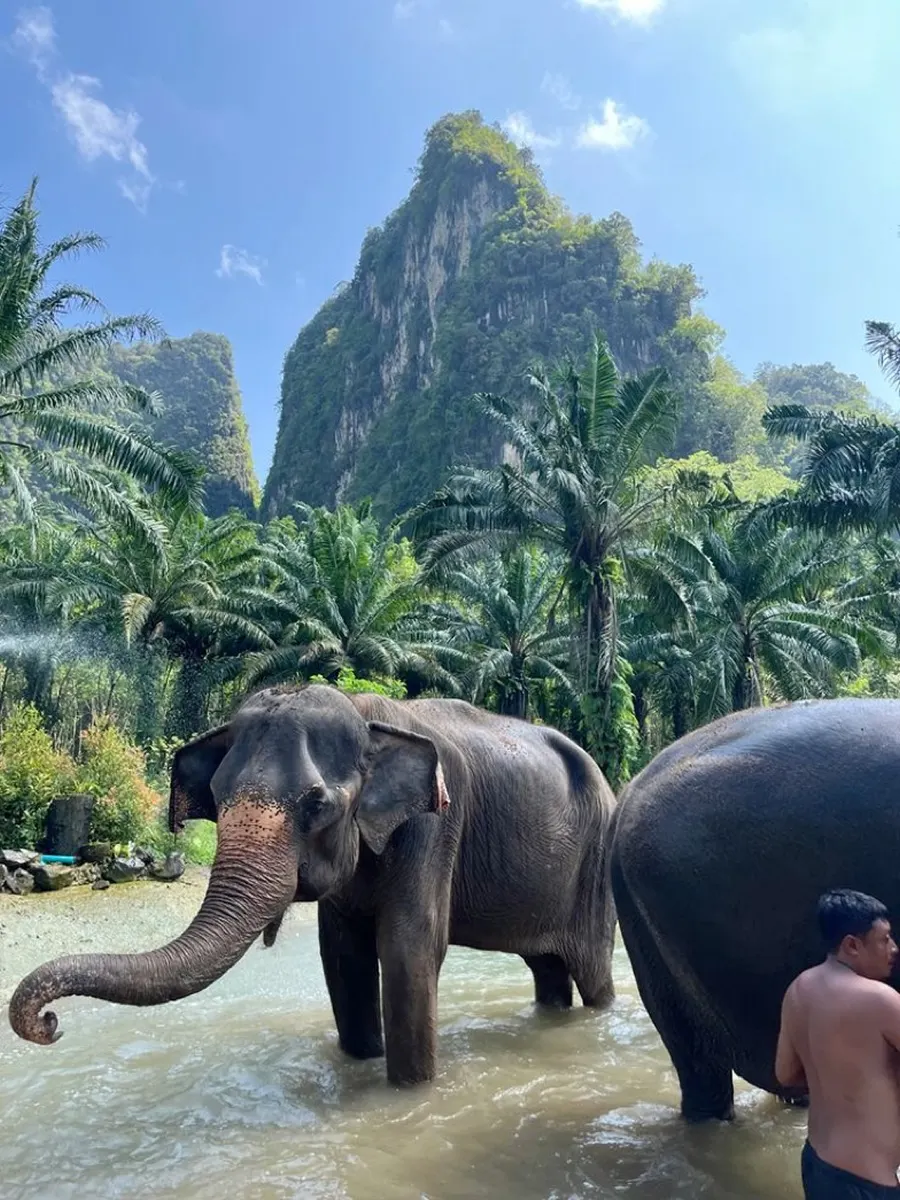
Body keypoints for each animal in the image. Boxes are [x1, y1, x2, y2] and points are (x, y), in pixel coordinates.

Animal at [9, 683, 617, 1085]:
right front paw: (362, 1064)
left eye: (317, 804)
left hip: (596, 869)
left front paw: (412, 1092)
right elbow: (342, 955)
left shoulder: (436, 825)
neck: (367, 715)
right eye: (217, 794)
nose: (49, 1023)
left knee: (593, 971)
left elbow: (409, 949)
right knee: (548, 968)